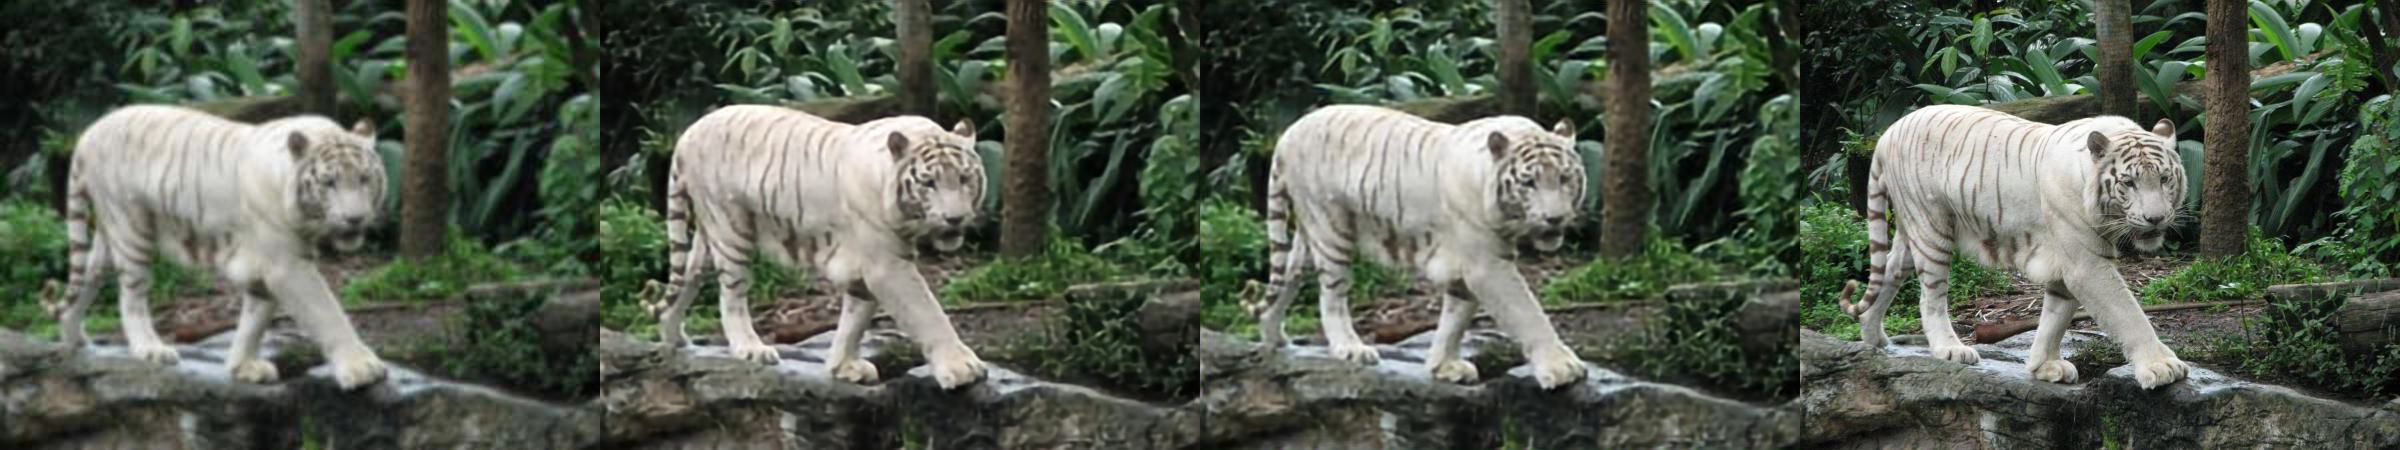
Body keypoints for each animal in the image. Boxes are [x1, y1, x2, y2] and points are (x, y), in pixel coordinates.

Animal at [52, 105, 390, 390]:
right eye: (329, 183)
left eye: (364, 179)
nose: (355, 218)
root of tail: (88, 133)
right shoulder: (287, 265)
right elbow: (327, 311)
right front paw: (362, 368)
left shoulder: (264, 268)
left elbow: (255, 319)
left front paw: (243, 367)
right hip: (130, 226)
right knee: (131, 297)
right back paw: (151, 349)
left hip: (109, 232)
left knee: (90, 274)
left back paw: (73, 337)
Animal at [645, 105, 989, 389]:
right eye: (929, 183)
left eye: (964, 178)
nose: (955, 218)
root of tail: (687, 133)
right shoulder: (887, 264)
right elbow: (927, 311)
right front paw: (962, 369)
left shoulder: (864, 267)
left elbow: (855, 319)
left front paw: (844, 367)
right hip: (730, 227)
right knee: (731, 296)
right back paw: (751, 349)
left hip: (709, 233)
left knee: (689, 275)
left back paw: (673, 337)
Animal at [1248, 104, 1591, 389]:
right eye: (1529, 183)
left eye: (1564, 178)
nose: (1555, 218)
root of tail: (1287, 134)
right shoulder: (1486, 264)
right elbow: (1527, 311)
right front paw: (1562, 369)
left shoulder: (1465, 266)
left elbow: (1456, 318)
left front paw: (1444, 366)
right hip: (1330, 227)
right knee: (1331, 296)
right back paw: (1351, 349)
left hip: (1309, 234)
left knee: (1289, 274)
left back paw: (1273, 337)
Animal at [1837, 104, 2192, 389]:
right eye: (2129, 183)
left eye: (2164, 179)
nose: (2156, 218)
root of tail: (1888, 133)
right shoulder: (2086, 264)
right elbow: (2128, 314)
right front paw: (2161, 367)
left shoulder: (2067, 267)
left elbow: (2055, 318)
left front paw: (2044, 366)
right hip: (1931, 226)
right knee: (1930, 298)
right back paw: (1950, 349)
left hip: (1911, 229)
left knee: (1891, 270)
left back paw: (1872, 336)